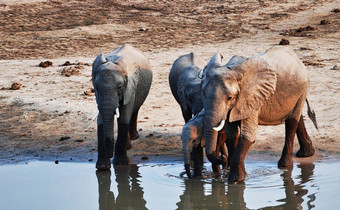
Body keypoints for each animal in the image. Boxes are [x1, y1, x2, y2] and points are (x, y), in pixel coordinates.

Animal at [201, 45, 318, 182]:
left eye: (230, 98)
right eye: (203, 93)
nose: (221, 159)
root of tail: (296, 57)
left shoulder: (252, 97)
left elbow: (248, 136)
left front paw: (236, 180)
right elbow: (232, 135)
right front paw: (240, 175)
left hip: (303, 87)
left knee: (291, 122)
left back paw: (285, 165)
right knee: (296, 116)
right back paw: (306, 154)